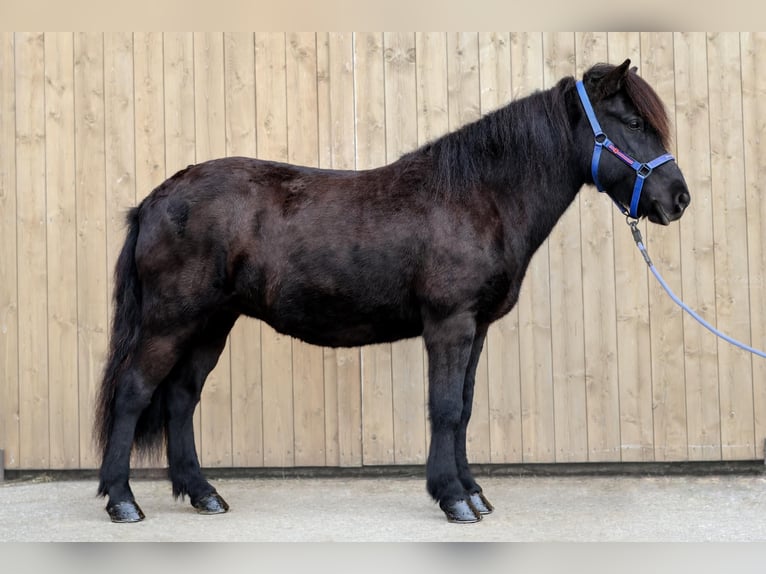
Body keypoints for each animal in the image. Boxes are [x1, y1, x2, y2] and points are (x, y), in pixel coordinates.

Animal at [94, 59, 688, 528]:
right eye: (634, 122)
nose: (678, 199)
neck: (479, 196)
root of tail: (153, 200)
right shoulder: (450, 324)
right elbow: (445, 408)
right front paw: (453, 499)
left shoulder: (476, 330)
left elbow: (464, 408)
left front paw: (472, 491)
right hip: (170, 322)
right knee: (134, 393)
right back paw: (122, 501)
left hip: (211, 324)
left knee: (180, 398)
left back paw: (203, 494)